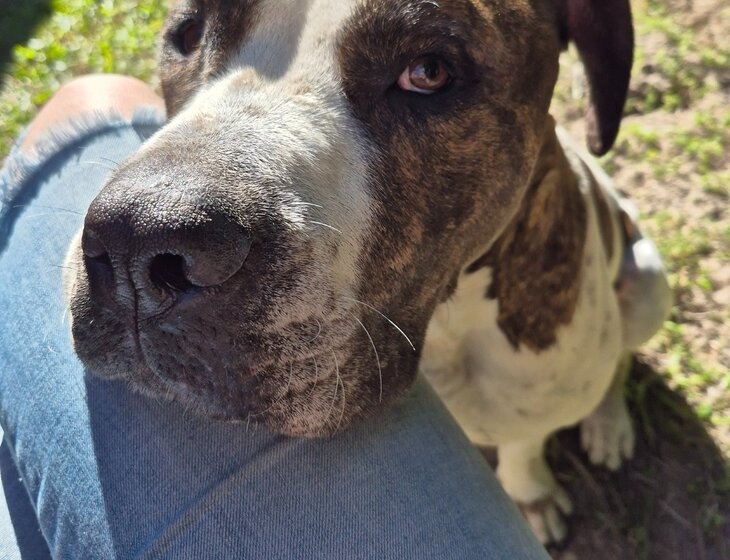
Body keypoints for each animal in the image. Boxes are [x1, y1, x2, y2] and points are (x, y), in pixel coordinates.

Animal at [65, 0, 672, 544]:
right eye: (188, 34)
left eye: (428, 71)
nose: (135, 238)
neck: (445, 328)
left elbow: (525, 443)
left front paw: (532, 495)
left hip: (649, 284)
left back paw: (609, 422)